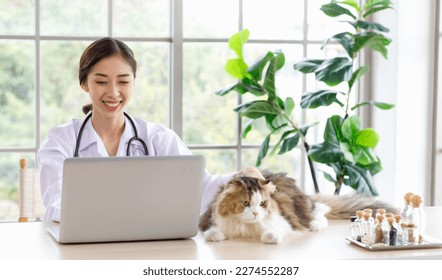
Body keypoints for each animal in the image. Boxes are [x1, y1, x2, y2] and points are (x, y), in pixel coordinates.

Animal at [200, 167, 398, 244]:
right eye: (245, 203)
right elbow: (213, 232)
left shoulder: (283, 221)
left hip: (303, 206)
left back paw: (314, 225)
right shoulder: (214, 221)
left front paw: (270, 237)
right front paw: (215, 236)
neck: (246, 227)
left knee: (319, 211)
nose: (255, 214)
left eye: (262, 203)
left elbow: (272, 231)